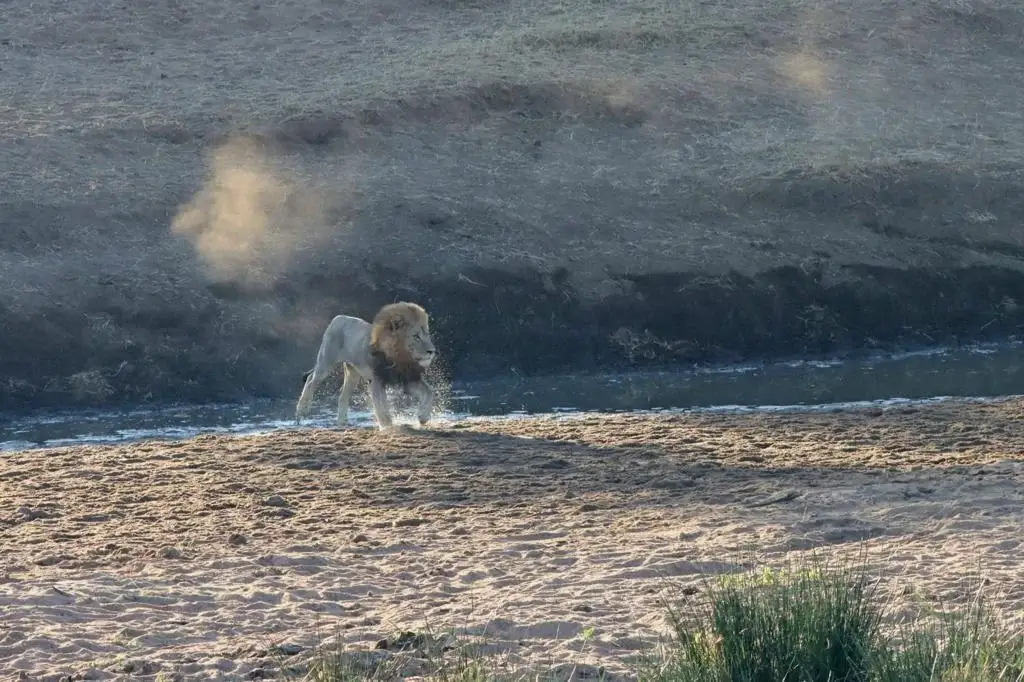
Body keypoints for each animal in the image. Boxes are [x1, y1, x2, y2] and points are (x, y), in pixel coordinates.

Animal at [296, 303, 440, 430]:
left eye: (427, 334)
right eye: (416, 336)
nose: (432, 351)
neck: (400, 358)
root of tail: (339, 317)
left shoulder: (408, 380)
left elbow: (429, 392)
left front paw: (423, 417)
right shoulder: (377, 380)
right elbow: (382, 407)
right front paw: (388, 427)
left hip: (352, 373)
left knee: (342, 396)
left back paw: (342, 422)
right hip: (326, 363)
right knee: (311, 379)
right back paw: (302, 410)